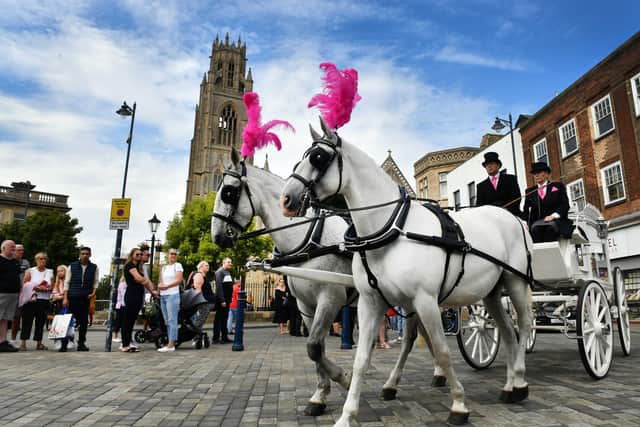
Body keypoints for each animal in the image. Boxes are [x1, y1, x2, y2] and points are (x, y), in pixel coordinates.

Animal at [280, 118, 528, 427]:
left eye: (317, 157)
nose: (286, 199)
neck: (391, 229)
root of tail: (507, 215)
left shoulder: (425, 300)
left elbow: (443, 351)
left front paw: (459, 403)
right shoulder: (371, 302)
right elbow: (361, 359)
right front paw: (348, 413)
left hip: (516, 282)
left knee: (524, 325)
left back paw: (520, 383)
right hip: (491, 291)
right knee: (507, 332)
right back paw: (509, 385)